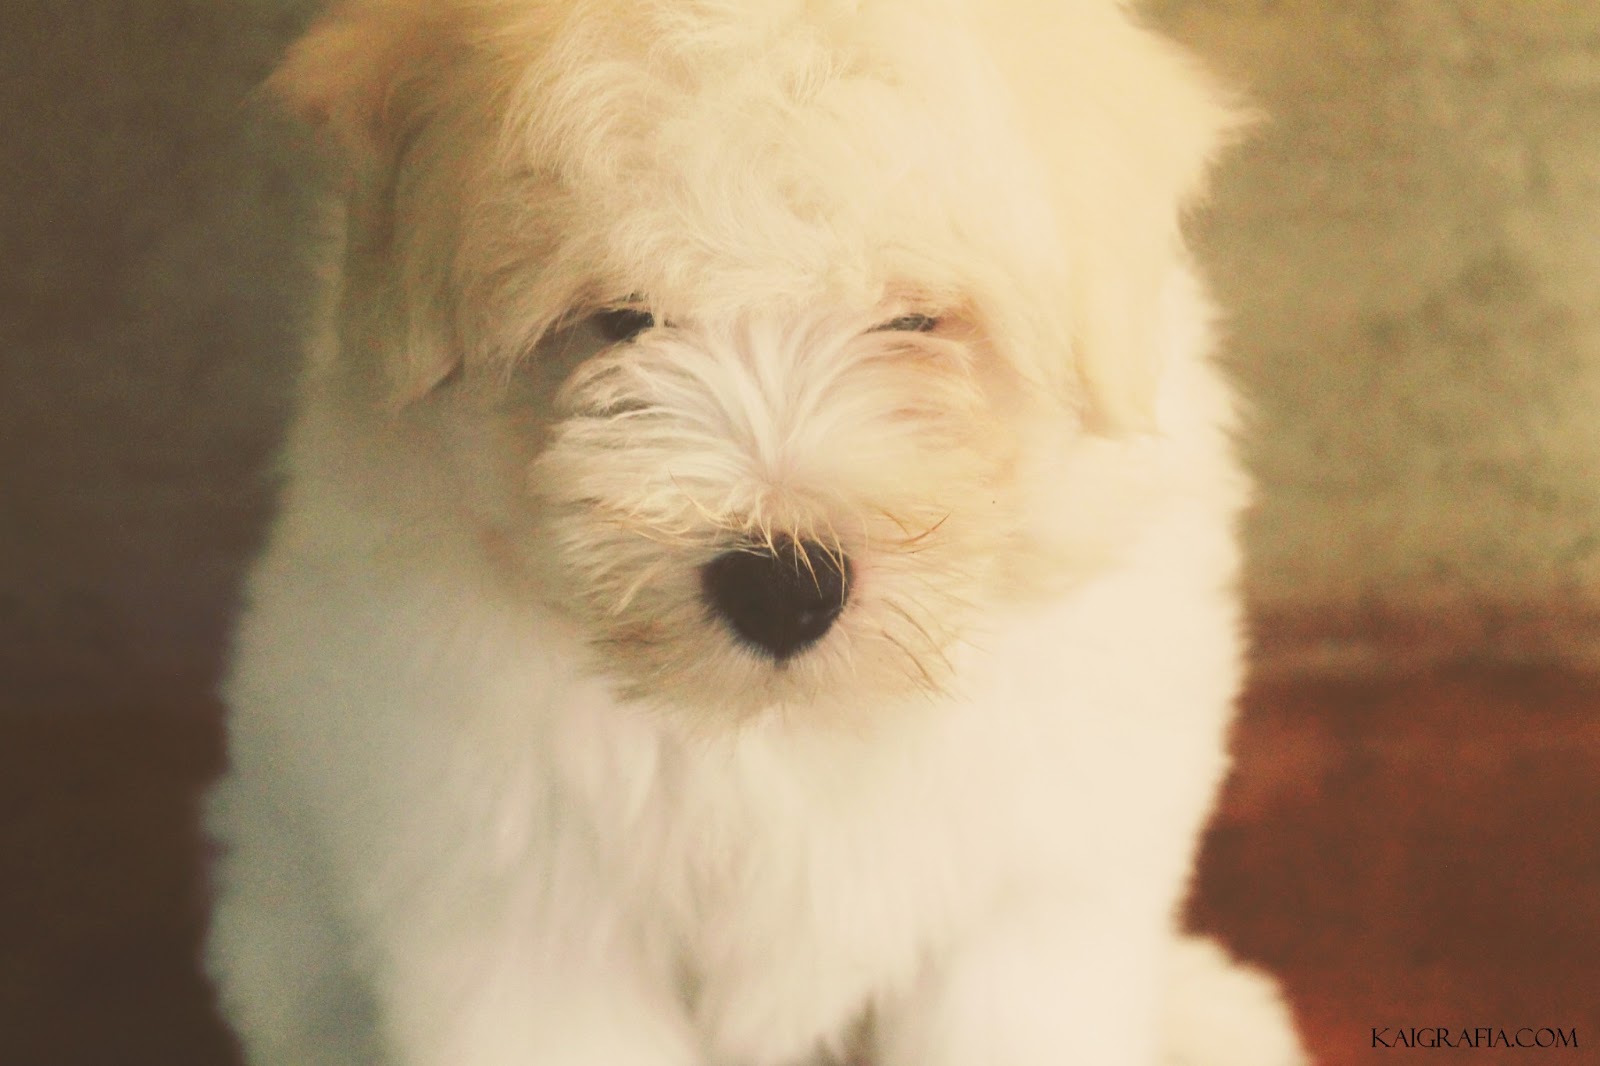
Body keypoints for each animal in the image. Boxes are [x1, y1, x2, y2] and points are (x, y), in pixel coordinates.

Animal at [206, 1, 1309, 1064]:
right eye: (623, 319)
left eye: (914, 321)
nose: (782, 588)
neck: (778, 724)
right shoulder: (519, 909)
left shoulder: (1030, 895)